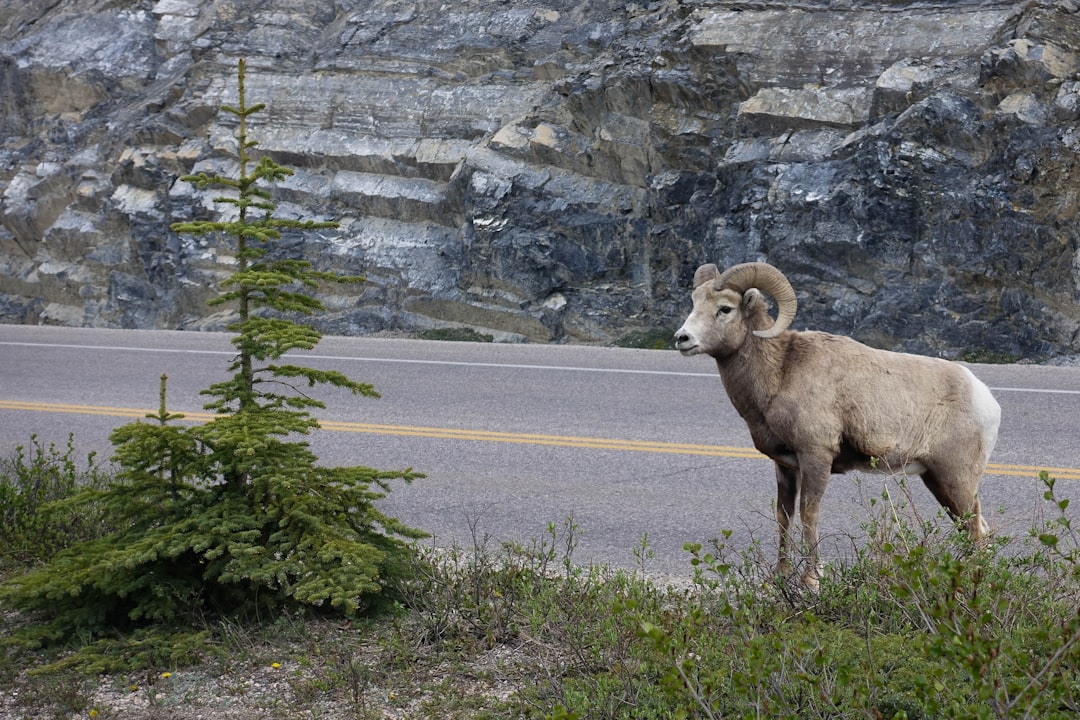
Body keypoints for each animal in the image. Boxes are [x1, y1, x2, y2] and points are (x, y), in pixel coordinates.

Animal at [673, 262, 1002, 587]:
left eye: (725, 309)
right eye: (695, 302)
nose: (682, 338)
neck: (780, 372)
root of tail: (985, 399)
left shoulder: (816, 456)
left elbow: (809, 514)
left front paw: (812, 579)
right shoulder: (786, 465)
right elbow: (784, 515)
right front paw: (780, 575)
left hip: (956, 479)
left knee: (976, 531)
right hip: (937, 480)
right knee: (974, 529)